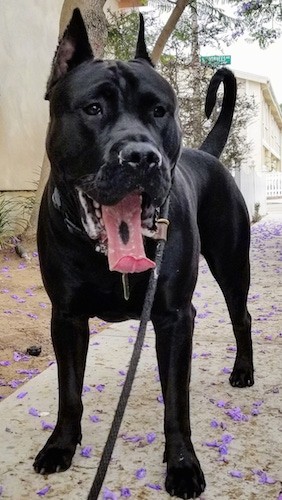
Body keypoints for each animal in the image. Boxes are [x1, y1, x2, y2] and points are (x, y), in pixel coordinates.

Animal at [34, 9, 254, 498]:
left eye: (159, 110)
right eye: (93, 108)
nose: (141, 156)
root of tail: (208, 153)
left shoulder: (173, 317)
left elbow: (176, 402)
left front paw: (182, 464)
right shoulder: (66, 317)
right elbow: (68, 391)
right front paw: (61, 445)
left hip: (233, 267)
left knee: (242, 316)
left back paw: (244, 371)